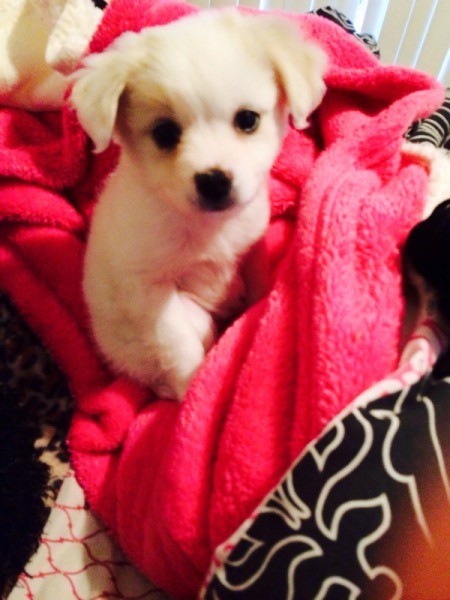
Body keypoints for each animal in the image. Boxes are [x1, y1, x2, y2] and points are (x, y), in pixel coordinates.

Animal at [70, 8, 326, 398]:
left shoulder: (252, 247)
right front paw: (192, 388)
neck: (207, 227)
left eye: (247, 120)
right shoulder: (148, 291)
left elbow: (258, 280)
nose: (214, 181)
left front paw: (254, 313)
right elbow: (178, 343)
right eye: (164, 132)